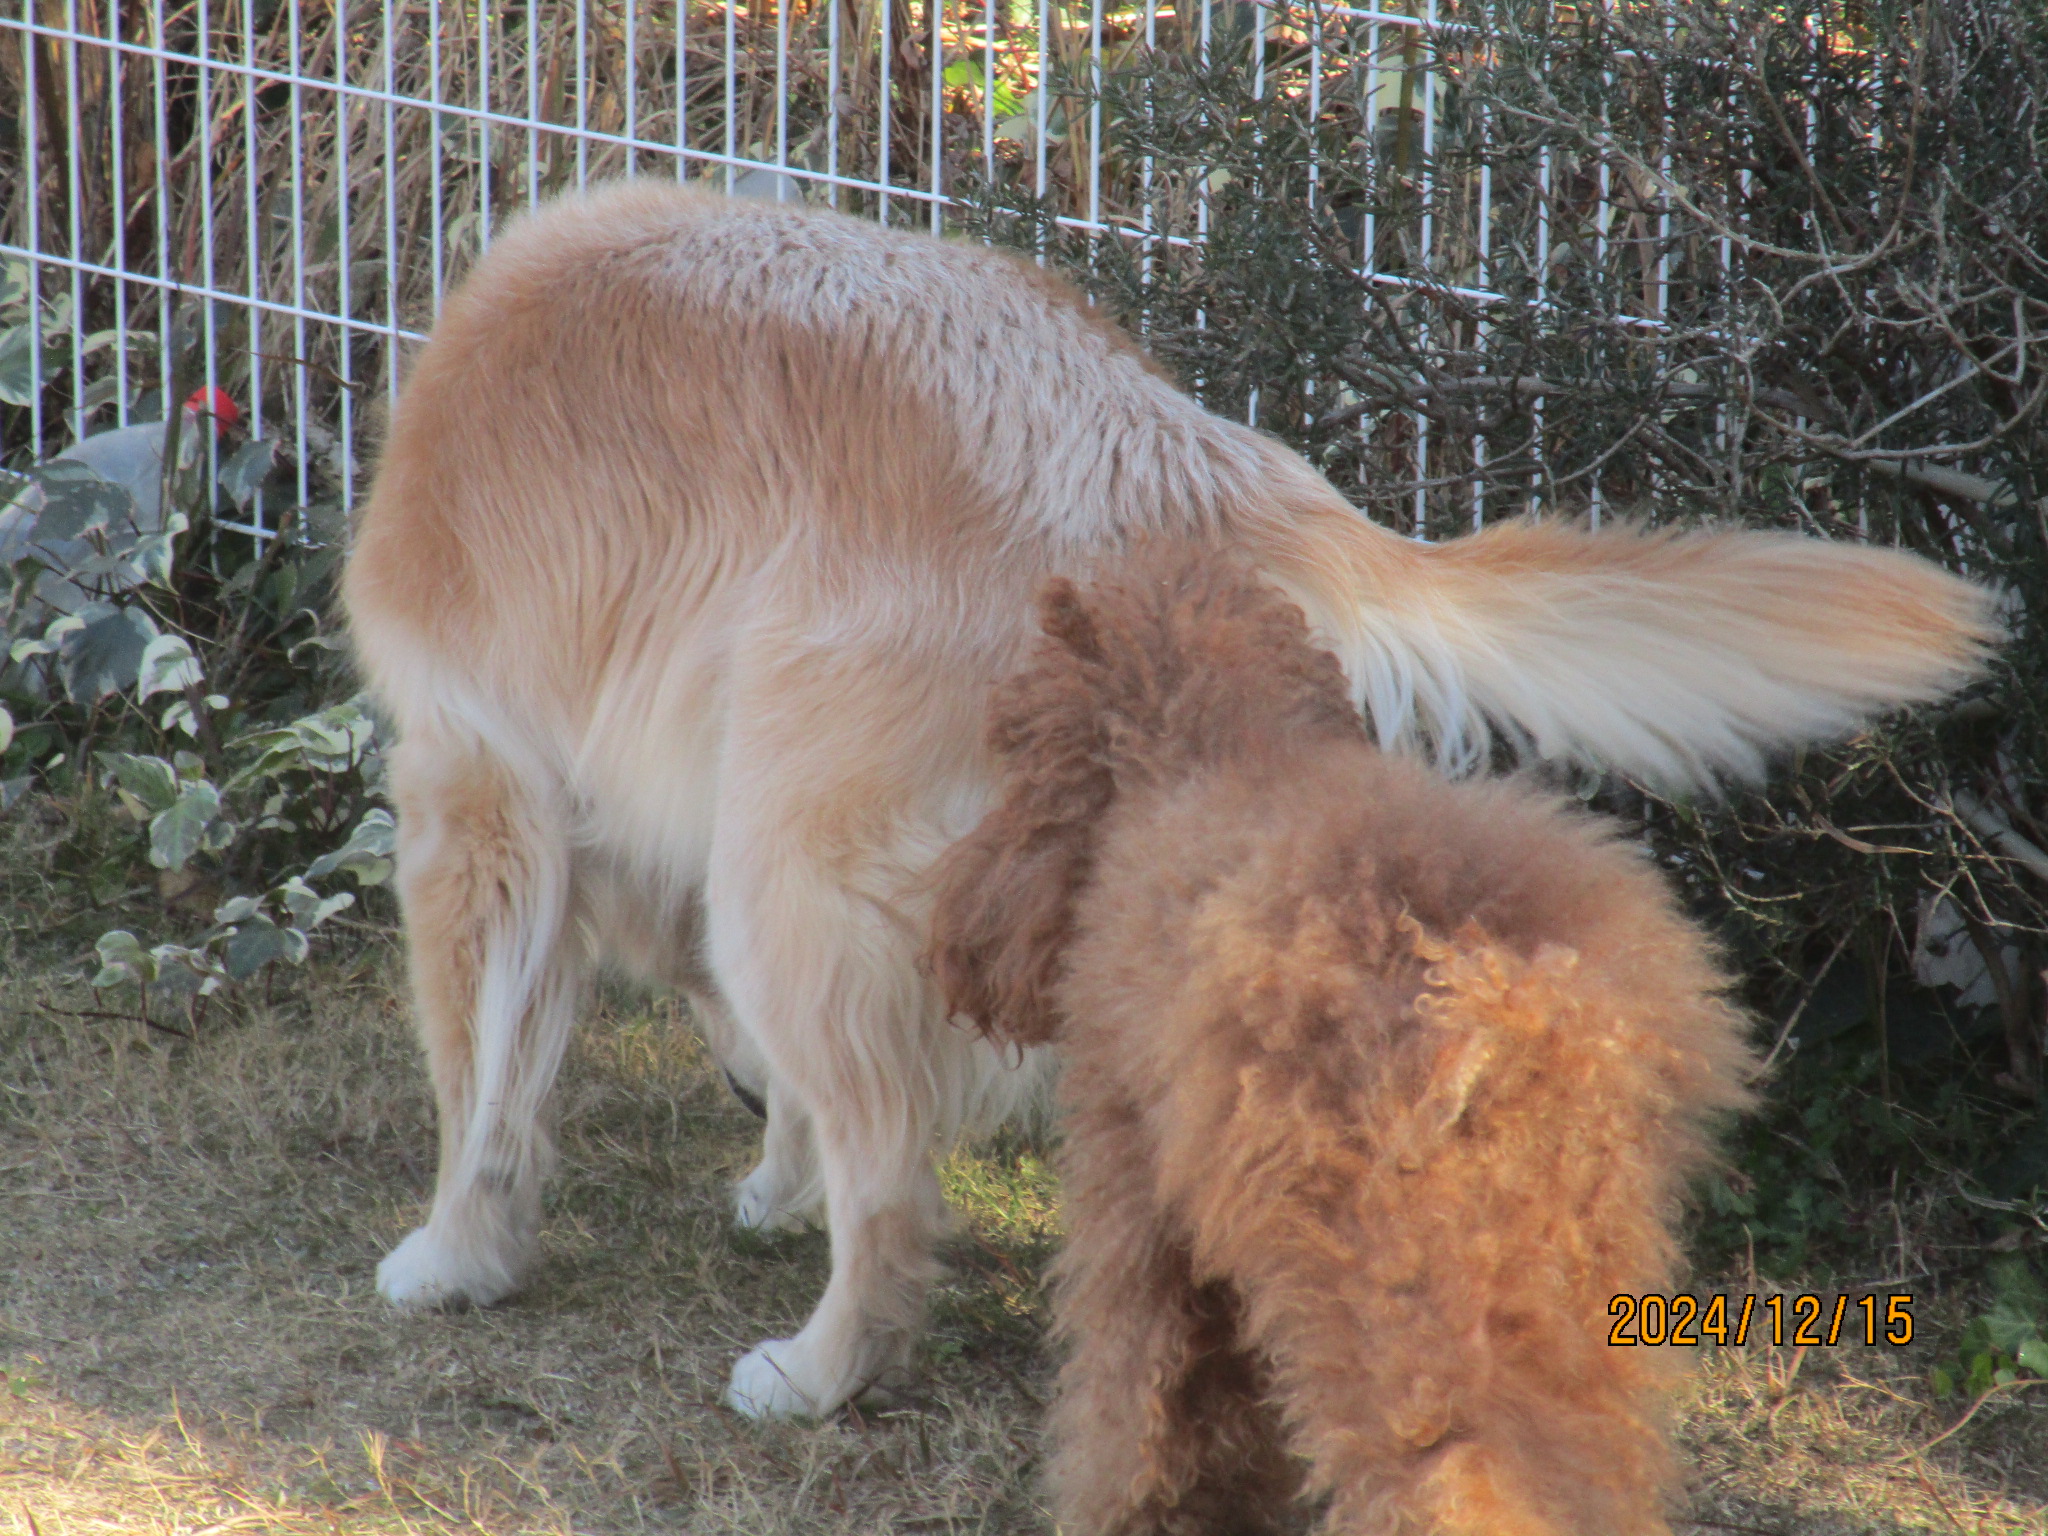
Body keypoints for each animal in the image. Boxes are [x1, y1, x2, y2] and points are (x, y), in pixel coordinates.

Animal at [341, 179, 1990, 1419]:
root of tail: (1196, 465)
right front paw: (769, 1170)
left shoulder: (473, 781)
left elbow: (481, 1076)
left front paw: (454, 1252)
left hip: (791, 864)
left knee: (898, 1195)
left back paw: (818, 1374)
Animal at [928, 548, 1759, 1535]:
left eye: (1019, 752)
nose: (955, 935)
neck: (1219, 752)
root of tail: (1521, 1008)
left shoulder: (1136, 1186)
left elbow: (1138, 1398)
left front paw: (1129, 1510)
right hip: (1566, 1285)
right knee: (1579, 1471)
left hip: (1399, 1300)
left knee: (1456, 1482)